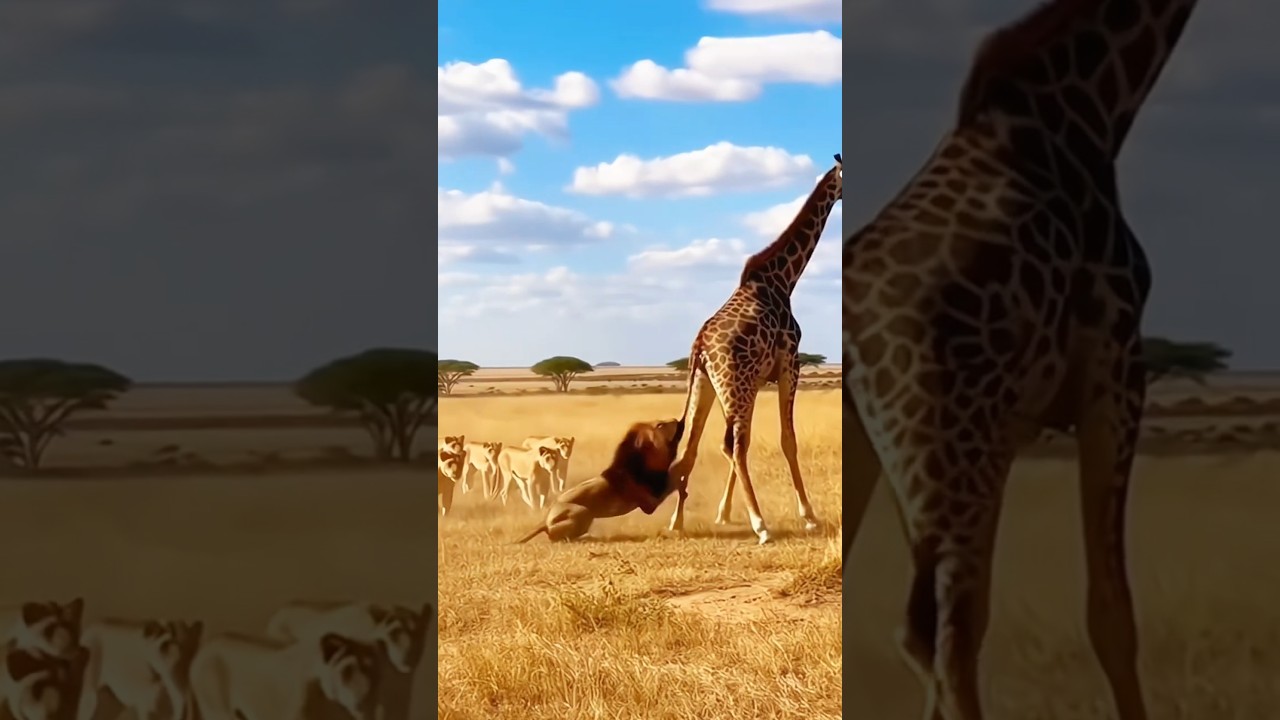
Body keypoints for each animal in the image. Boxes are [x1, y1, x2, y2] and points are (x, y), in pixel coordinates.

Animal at [517, 419, 684, 543]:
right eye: (660, 425)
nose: (676, 420)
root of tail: (545, 519)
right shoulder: (649, 503)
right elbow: (671, 480)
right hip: (583, 512)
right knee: (555, 538)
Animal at [666, 154, 842, 545]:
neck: (784, 278)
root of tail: (700, 345)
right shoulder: (790, 363)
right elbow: (787, 440)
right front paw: (809, 516)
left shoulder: (759, 379)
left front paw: (723, 512)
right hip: (733, 385)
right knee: (731, 445)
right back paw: (761, 525)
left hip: (707, 385)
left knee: (694, 447)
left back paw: (677, 520)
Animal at [841, 1, 1197, 718]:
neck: (1092, 108)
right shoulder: (1117, 362)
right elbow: (1111, 615)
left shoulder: (1003, 429)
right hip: (950, 453)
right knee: (939, 636)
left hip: (900, 456)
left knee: (925, 629)